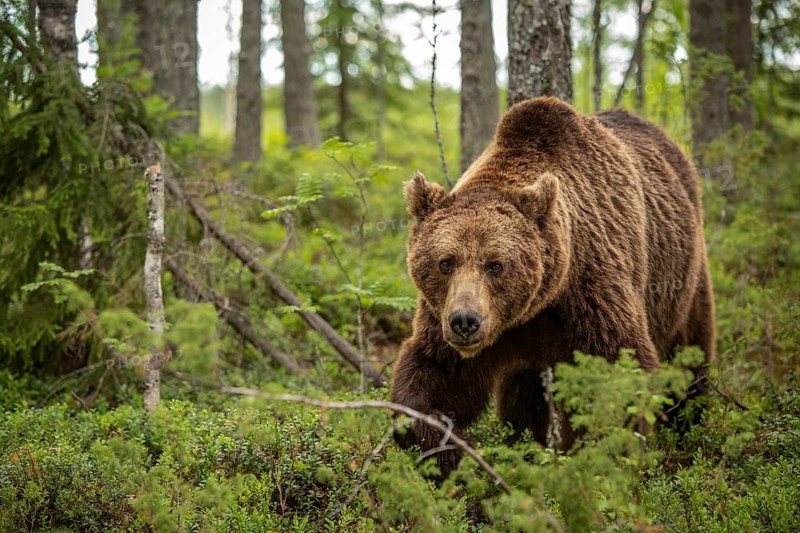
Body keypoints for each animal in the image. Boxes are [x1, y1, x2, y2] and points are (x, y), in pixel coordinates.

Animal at [390, 96, 714, 474]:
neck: (536, 306)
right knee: (523, 391)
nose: (465, 322)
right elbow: (433, 375)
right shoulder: (447, 316)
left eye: (495, 265)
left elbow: (618, 370)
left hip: (683, 274)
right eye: (445, 262)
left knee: (689, 350)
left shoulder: (590, 290)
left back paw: (688, 423)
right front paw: (454, 450)